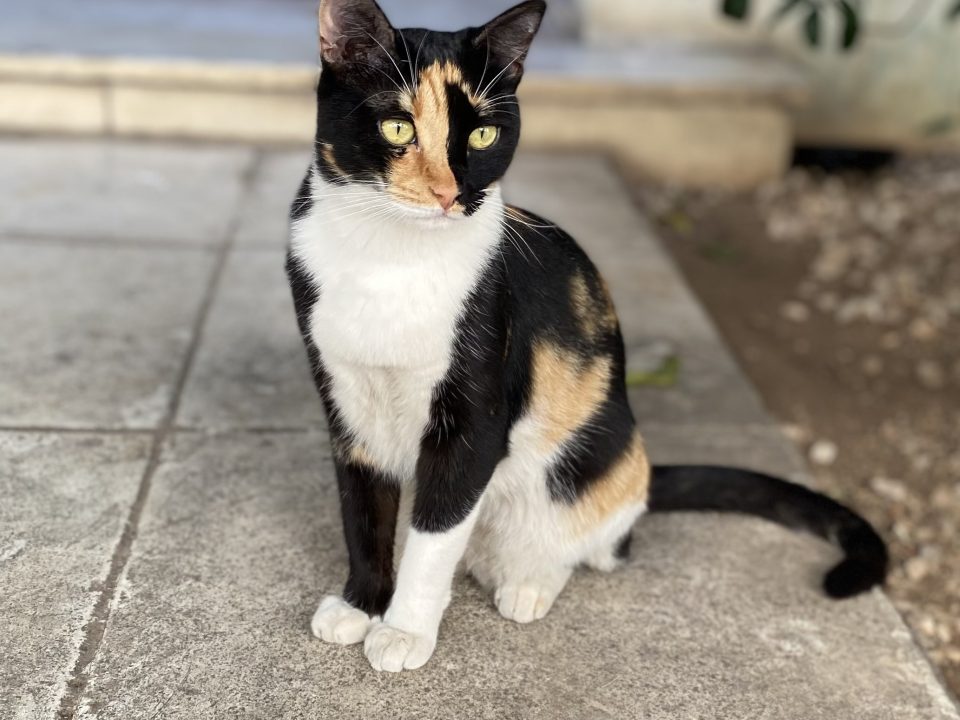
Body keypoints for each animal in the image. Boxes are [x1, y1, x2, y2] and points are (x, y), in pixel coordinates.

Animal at [286, 0, 892, 672]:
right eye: (397, 128)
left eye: (483, 135)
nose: (451, 195)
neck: (389, 261)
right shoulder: (348, 403)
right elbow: (363, 512)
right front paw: (361, 605)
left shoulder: (475, 420)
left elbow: (434, 532)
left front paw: (404, 630)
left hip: (587, 465)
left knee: (592, 546)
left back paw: (527, 582)